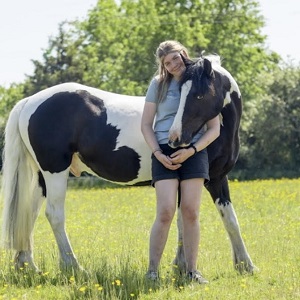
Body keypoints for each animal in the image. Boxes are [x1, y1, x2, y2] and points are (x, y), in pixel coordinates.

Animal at [0, 54, 255, 274]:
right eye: (184, 93)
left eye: (199, 95)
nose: (175, 138)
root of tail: (29, 102)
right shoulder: (202, 180)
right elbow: (199, 220)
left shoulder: (216, 178)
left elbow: (223, 220)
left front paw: (240, 265)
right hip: (55, 172)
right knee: (54, 214)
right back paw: (74, 266)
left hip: (42, 176)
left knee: (28, 213)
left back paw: (27, 265)